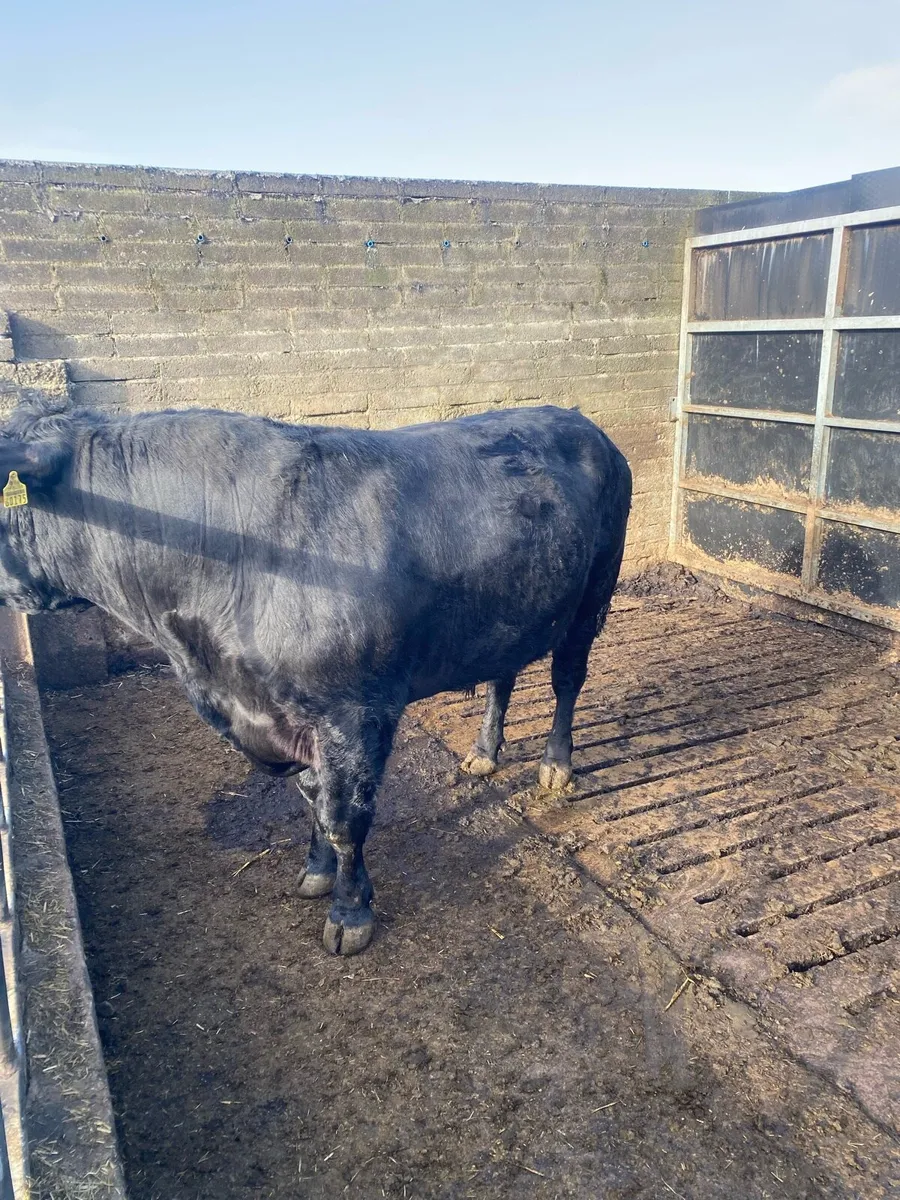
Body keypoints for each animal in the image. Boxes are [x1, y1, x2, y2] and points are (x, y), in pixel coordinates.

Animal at [0, 396, 631, 955]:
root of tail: (581, 422)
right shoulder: (287, 715)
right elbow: (310, 797)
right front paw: (317, 873)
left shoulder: (354, 714)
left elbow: (344, 817)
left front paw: (350, 912)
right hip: (513, 611)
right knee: (503, 677)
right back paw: (484, 752)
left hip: (590, 598)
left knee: (568, 680)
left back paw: (555, 766)